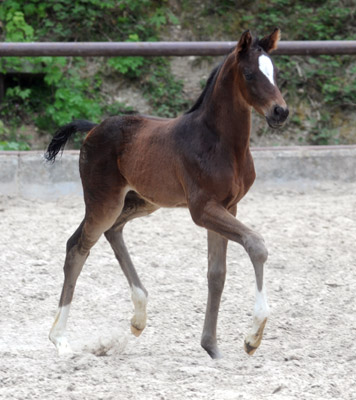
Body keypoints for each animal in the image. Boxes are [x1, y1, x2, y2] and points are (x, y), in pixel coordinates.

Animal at [46, 28, 288, 360]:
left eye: (275, 73)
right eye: (250, 74)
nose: (281, 112)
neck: (220, 143)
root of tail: (94, 128)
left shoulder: (228, 207)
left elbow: (217, 274)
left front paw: (211, 347)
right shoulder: (203, 209)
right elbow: (256, 245)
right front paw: (253, 337)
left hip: (141, 201)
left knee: (111, 232)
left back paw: (138, 317)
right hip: (104, 201)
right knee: (78, 247)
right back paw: (59, 338)